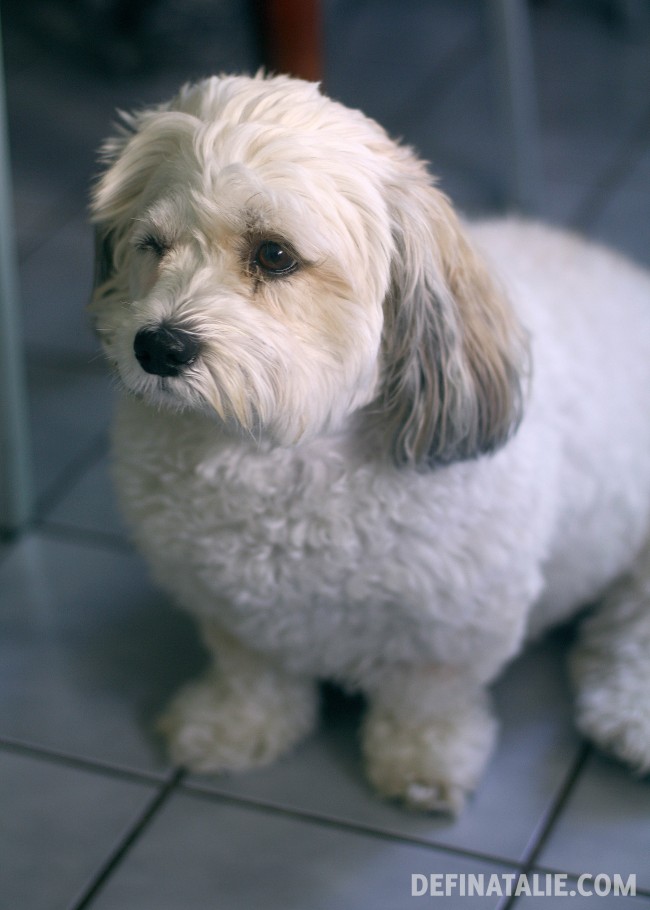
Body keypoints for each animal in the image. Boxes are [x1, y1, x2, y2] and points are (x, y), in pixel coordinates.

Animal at [88, 71, 648, 812]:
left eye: (274, 254)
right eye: (152, 246)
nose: (158, 345)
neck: (275, 451)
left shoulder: (453, 624)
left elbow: (425, 700)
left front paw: (421, 761)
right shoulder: (225, 604)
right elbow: (251, 671)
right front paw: (235, 726)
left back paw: (630, 715)